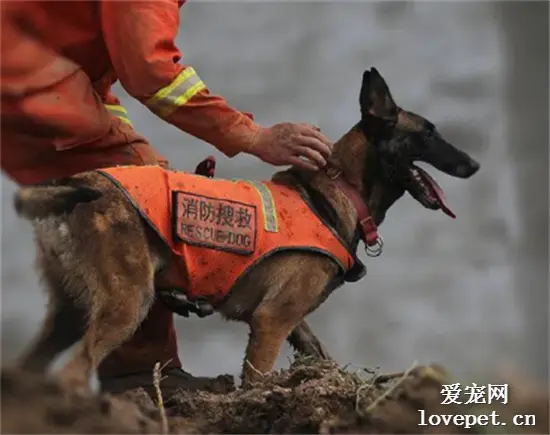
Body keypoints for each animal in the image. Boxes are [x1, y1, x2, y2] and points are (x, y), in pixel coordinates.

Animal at [12, 67, 478, 392]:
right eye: (427, 134)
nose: (474, 164)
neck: (339, 189)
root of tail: (77, 183)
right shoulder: (272, 321)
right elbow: (256, 381)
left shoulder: (292, 321)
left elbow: (320, 354)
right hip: (127, 303)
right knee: (74, 373)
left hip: (72, 312)